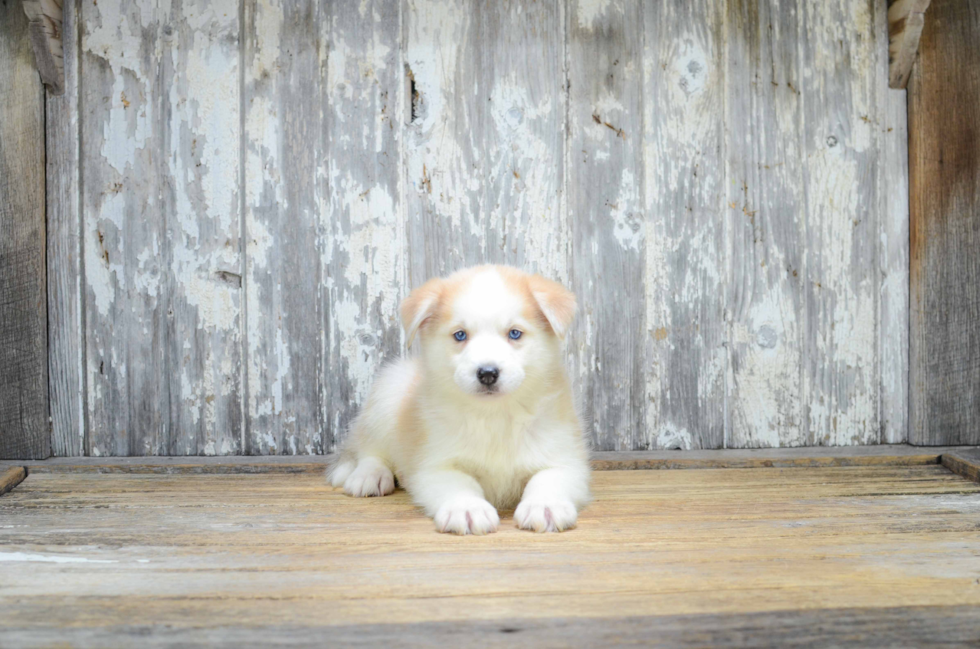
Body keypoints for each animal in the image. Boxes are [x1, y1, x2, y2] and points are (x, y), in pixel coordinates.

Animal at [330, 264, 588, 532]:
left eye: (515, 333)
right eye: (460, 335)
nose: (487, 373)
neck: (494, 415)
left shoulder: (566, 458)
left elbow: (548, 479)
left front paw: (545, 505)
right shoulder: (436, 465)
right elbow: (459, 484)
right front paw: (467, 508)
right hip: (388, 394)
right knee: (370, 449)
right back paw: (369, 476)